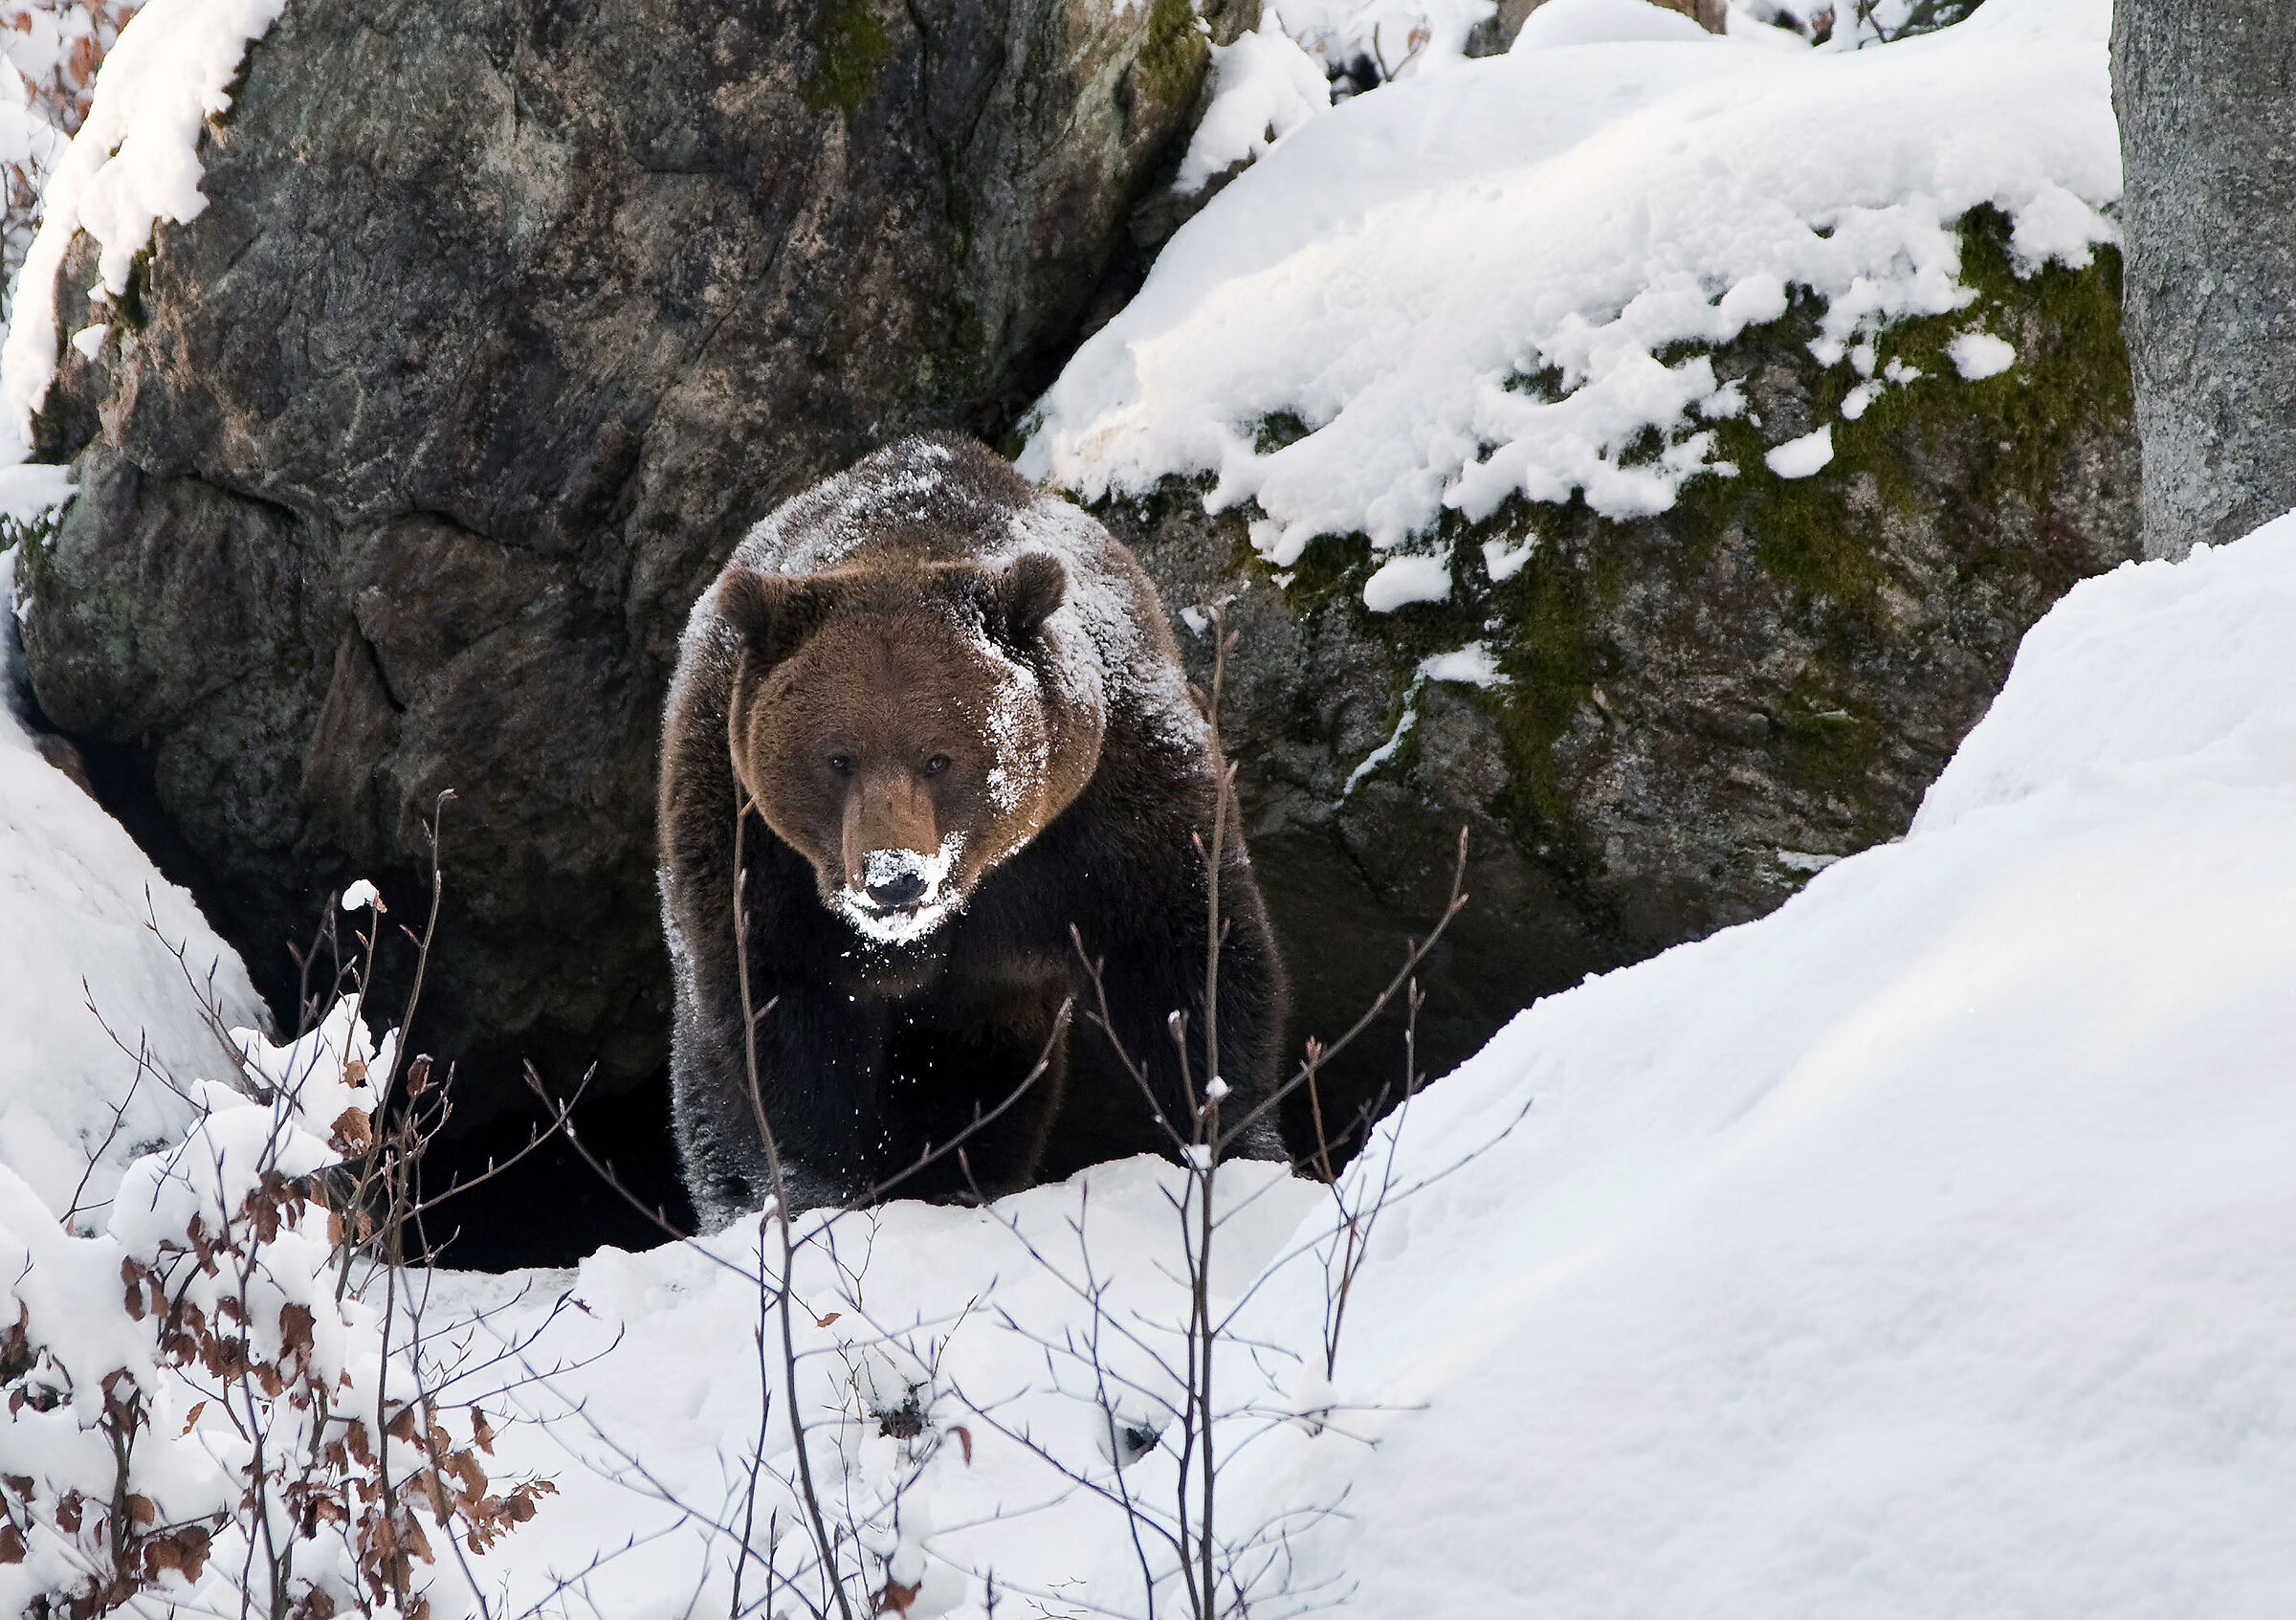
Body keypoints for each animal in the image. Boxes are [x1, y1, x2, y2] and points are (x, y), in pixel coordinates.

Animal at [659, 433, 1287, 1228]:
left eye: (939, 756)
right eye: (837, 758)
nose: (893, 876)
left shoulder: (1114, 810)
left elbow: (1188, 958)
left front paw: (1230, 1145)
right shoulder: (752, 848)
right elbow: (773, 1023)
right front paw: (808, 1193)